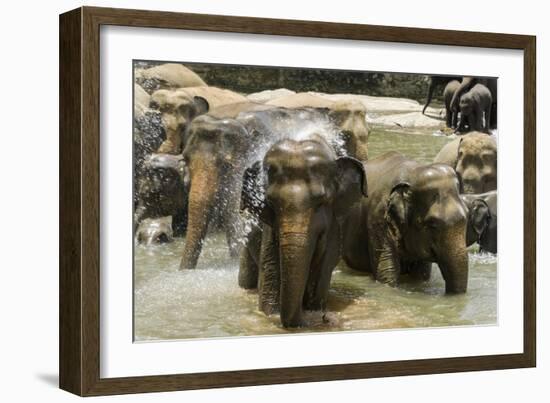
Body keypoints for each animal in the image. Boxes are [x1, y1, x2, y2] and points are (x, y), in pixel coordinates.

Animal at [239, 136, 368, 328]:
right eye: (271, 202)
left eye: (321, 201)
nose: (326, 318)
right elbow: (270, 273)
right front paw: (273, 312)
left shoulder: (335, 224)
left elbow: (322, 270)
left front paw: (312, 310)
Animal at [344, 152, 470, 294]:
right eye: (432, 224)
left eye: (467, 215)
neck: (412, 173)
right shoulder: (378, 218)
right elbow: (386, 272)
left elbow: (421, 275)